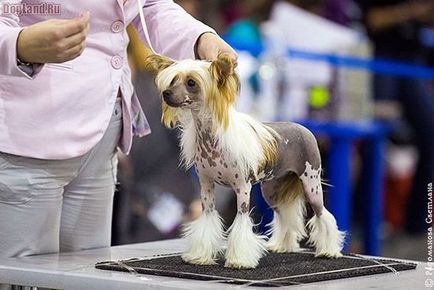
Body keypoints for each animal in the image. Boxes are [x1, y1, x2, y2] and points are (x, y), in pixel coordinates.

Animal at [144, 53, 344, 268]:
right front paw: (200, 256)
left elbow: (241, 223)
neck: (210, 138)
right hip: (271, 189)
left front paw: (239, 260)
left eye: (191, 83)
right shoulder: (206, 186)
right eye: (173, 80)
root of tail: (304, 128)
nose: (166, 93)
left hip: (311, 184)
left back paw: (329, 250)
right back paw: (282, 246)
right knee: (284, 215)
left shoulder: (242, 188)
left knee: (323, 215)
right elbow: (207, 220)